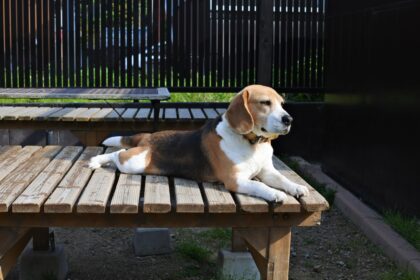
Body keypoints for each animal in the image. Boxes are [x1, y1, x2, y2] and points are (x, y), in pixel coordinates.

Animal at [89, 84, 308, 202]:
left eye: (281, 103)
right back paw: (96, 160)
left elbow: (282, 179)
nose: (289, 119)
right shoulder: (235, 180)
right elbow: (259, 185)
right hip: (136, 163)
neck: (252, 143)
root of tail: (148, 136)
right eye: (265, 103)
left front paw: (296, 187)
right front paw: (274, 193)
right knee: (117, 154)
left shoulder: (267, 171)